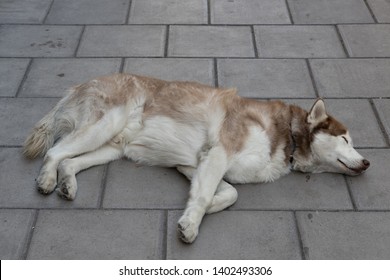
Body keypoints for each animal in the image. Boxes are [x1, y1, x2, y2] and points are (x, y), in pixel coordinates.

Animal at [22, 74, 370, 243]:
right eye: (345, 140)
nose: (368, 163)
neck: (289, 135)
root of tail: (80, 84)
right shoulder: (218, 153)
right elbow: (207, 195)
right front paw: (191, 224)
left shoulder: (194, 164)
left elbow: (228, 194)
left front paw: (201, 209)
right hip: (102, 126)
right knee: (55, 152)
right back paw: (47, 179)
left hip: (111, 147)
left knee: (69, 160)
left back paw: (67, 184)